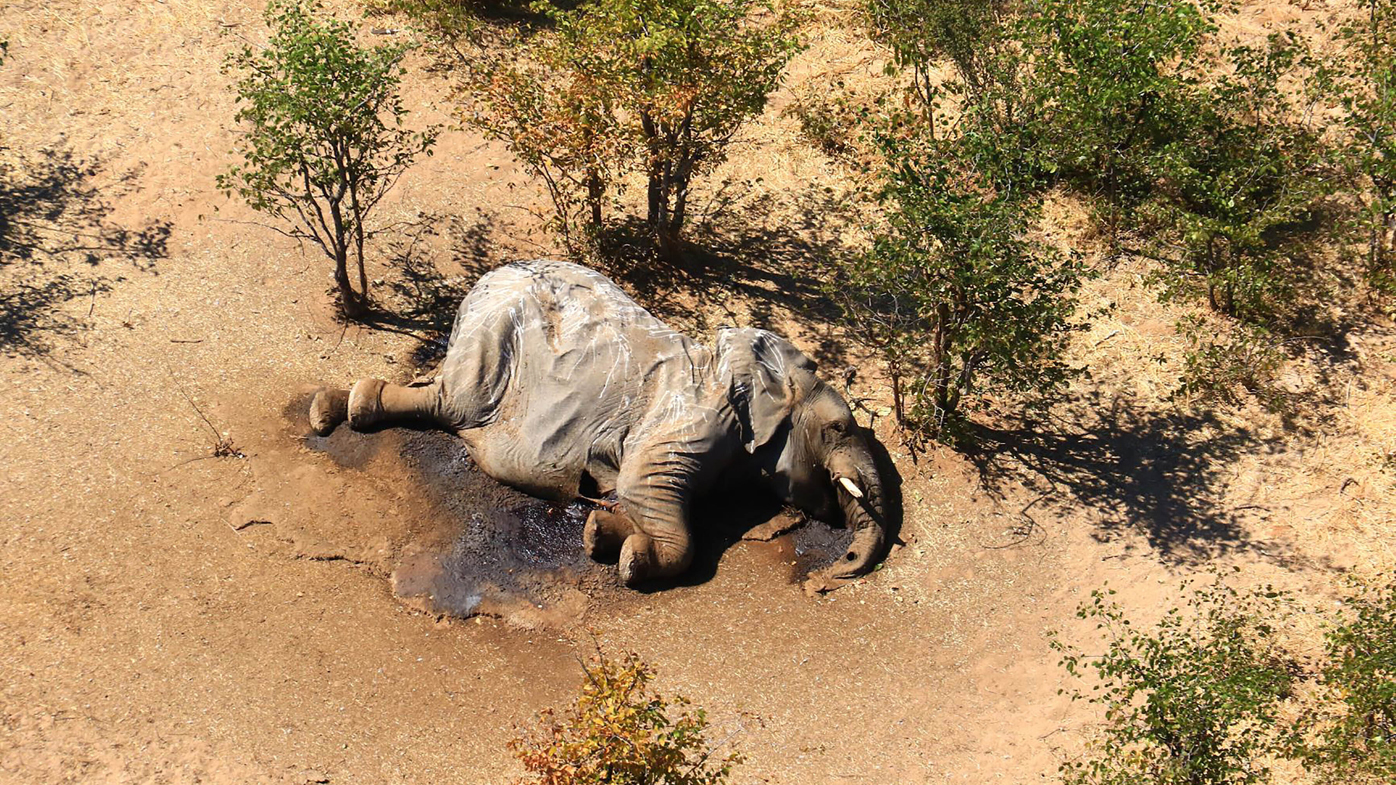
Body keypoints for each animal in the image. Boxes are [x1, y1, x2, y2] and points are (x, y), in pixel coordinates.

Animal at [309, 260, 891, 588]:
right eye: (839, 428)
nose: (830, 577)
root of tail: (483, 280)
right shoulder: (693, 418)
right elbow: (645, 487)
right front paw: (633, 560)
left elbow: (635, 495)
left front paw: (599, 533)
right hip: (492, 339)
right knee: (453, 404)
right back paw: (337, 410)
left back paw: (334, 407)